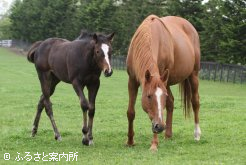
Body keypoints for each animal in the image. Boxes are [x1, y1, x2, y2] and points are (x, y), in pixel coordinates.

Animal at [126, 15, 201, 151]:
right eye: (149, 96)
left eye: (161, 97)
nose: (160, 127)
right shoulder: (132, 81)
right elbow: (131, 112)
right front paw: (130, 141)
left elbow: (155, 114)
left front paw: (154, 145)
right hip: (167, 82)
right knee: (171, 102)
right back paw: (168, 135)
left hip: (193, 75)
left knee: (195, 102)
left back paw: (197, 134)